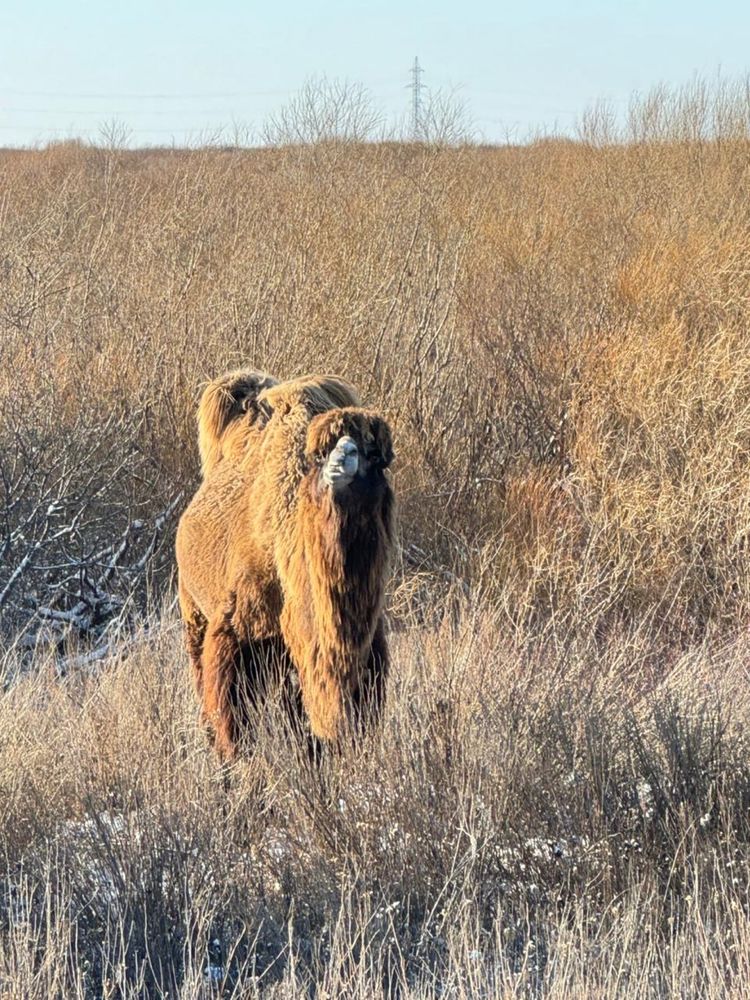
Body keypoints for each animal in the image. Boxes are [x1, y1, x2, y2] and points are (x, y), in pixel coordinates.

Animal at [176, 374, 396, 756]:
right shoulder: (235, 633)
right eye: (321, 452)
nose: (344, 458)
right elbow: (232, 718)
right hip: (195, 616)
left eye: (375, 455)